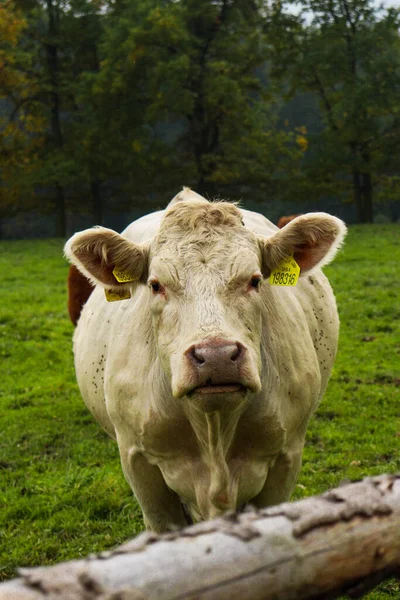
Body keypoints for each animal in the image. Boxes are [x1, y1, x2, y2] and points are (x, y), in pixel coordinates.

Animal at [64, 189, 346, 536]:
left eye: (255, 280)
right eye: (155, 285)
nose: (216, 356)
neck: (214, 429)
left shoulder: (286, 456)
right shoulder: (138, 462)